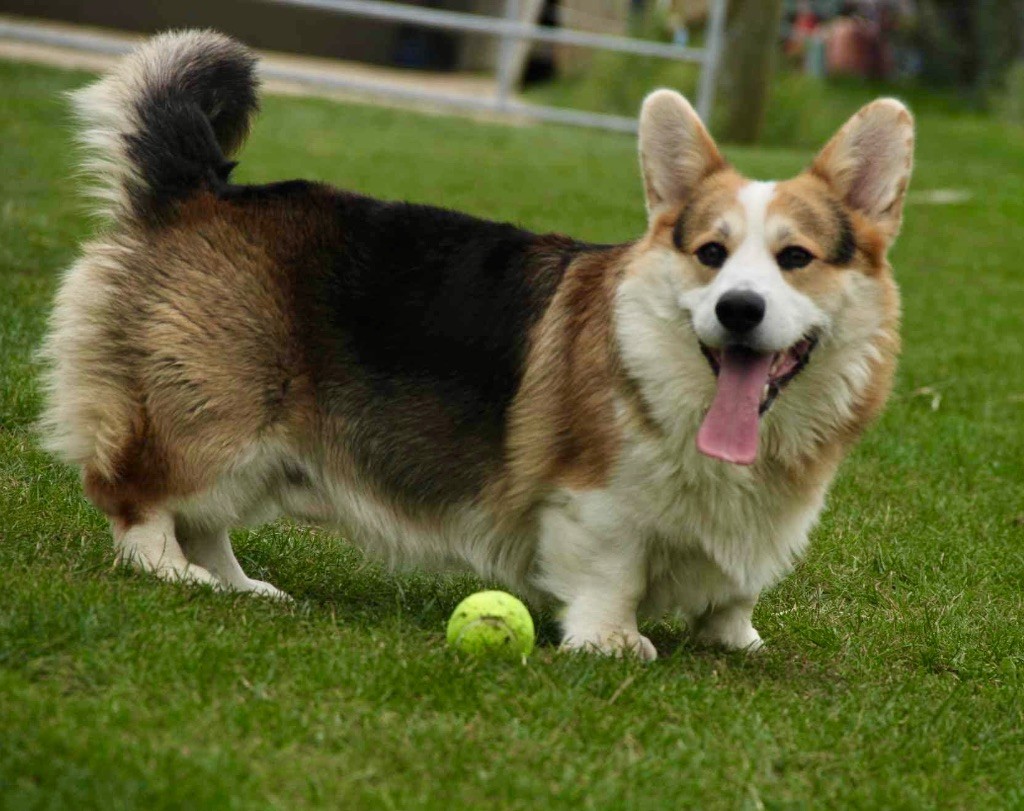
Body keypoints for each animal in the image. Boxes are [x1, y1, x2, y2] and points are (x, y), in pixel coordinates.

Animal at [44, 30, 917, 659]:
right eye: (711, 252)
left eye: (795, 258)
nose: (738, 310)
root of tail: (198, 188)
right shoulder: (594, 500)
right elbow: (612, 568)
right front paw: (611, 640)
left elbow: (738, 590)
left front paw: (738, 638)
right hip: (219, 415)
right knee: (138, 496)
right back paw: (169, 572)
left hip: (258, 443)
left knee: (206, 522)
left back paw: (235, 585)